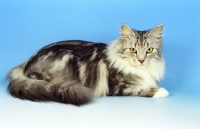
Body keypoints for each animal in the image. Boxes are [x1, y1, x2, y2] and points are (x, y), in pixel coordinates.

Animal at [6, 23, 169, 105]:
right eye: (133, 50)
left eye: (149, 50)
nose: (141, 60)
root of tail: (25, 66)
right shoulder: (120, 87)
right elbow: (143, 89)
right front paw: (161, 91)